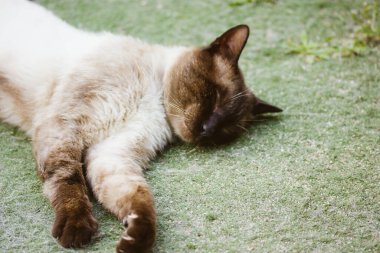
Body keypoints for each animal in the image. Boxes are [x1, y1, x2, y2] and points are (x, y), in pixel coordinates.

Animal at [0, 0, 282, 253]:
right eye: (213, 96)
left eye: (226, 128)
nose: (207, 129)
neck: (153, 99)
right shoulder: (64, 126)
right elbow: (69, 180)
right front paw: (76, 230)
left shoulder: (112, 154)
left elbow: (140, 199)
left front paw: (134, 240)